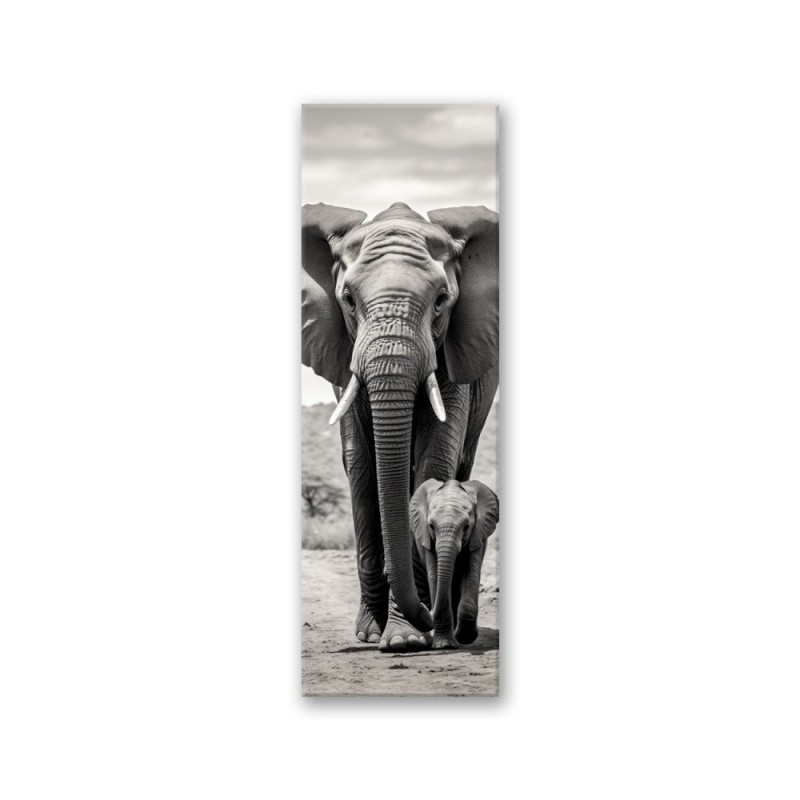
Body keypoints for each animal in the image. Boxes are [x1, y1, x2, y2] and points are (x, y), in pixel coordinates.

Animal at [409, 479, 499, 649]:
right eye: (431, 526)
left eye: (466, 527)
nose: (424, 608)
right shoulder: (427, 540)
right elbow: (435, 577)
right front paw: (445, 645)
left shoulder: (476, 536)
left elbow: (471, 573)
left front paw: (464, 637)